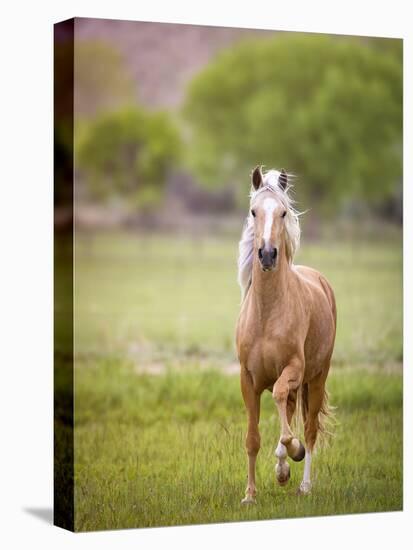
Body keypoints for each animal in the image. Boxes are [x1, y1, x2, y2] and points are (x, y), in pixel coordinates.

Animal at [235, 167, 334, 504]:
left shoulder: (294, 369)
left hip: (316, 378)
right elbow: (253, 438)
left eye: (283, 212)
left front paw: (294, 449)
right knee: (289, 413)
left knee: (310, 428)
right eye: (254, 211)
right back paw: (282, 472)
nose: (267, 255)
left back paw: (303, 483)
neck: (267, 315)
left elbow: (282, 406)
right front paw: (250, 495)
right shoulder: (248, 379)